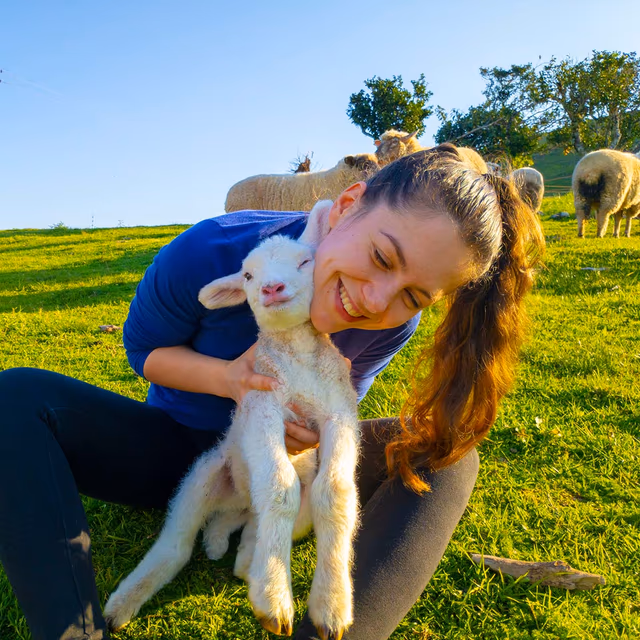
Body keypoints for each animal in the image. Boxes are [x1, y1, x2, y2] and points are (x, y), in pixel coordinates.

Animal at [104, 201, 360, 640]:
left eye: (305, 261)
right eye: (248, 276)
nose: (271, 288)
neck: (299, 365)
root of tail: (237, 499)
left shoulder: (339, 412)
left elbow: (336, 493)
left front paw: (331, 605)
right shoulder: (262, 405)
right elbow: (279, 487)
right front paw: (274, 599)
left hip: (276, 506)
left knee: (253, 519)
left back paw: (237, 553)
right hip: (203, 475)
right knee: (177, 544)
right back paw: (124, 603)